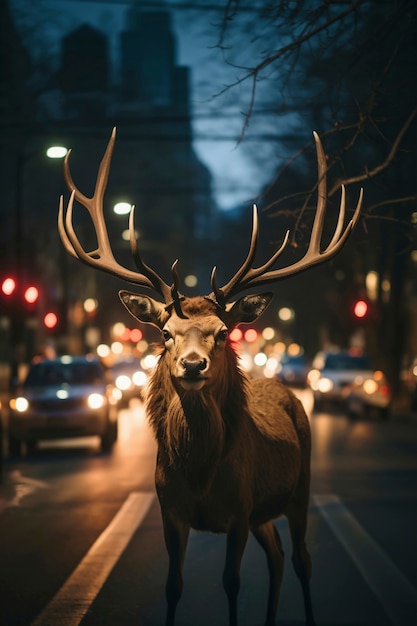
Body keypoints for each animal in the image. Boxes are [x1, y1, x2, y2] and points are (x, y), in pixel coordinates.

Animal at [57, 128, 360, 624]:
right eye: (165, 333)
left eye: (223, 332)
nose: (193, 365)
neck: (200, 474)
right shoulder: (171, 511)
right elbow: (173, 586)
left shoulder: (238, 510)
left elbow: (231, 584)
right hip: (264, 512)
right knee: (277, 556)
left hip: (301, 486)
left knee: (301, 559)